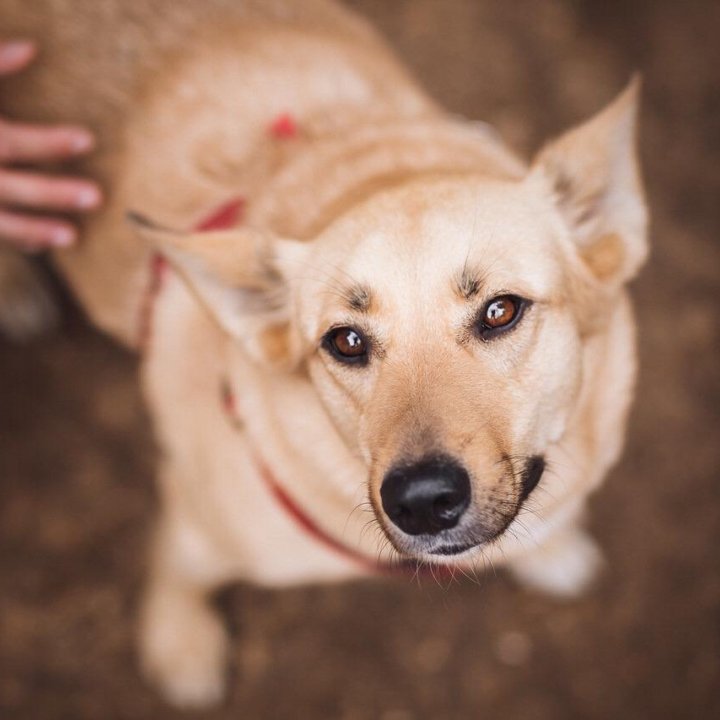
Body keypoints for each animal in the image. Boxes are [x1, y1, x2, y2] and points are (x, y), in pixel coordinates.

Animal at [0, 0, 648, 708]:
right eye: (347, 341)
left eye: (500, 311)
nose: (421, 501)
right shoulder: (193, 509)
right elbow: (176, 567)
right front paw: (180, 643)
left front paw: (551, 549)